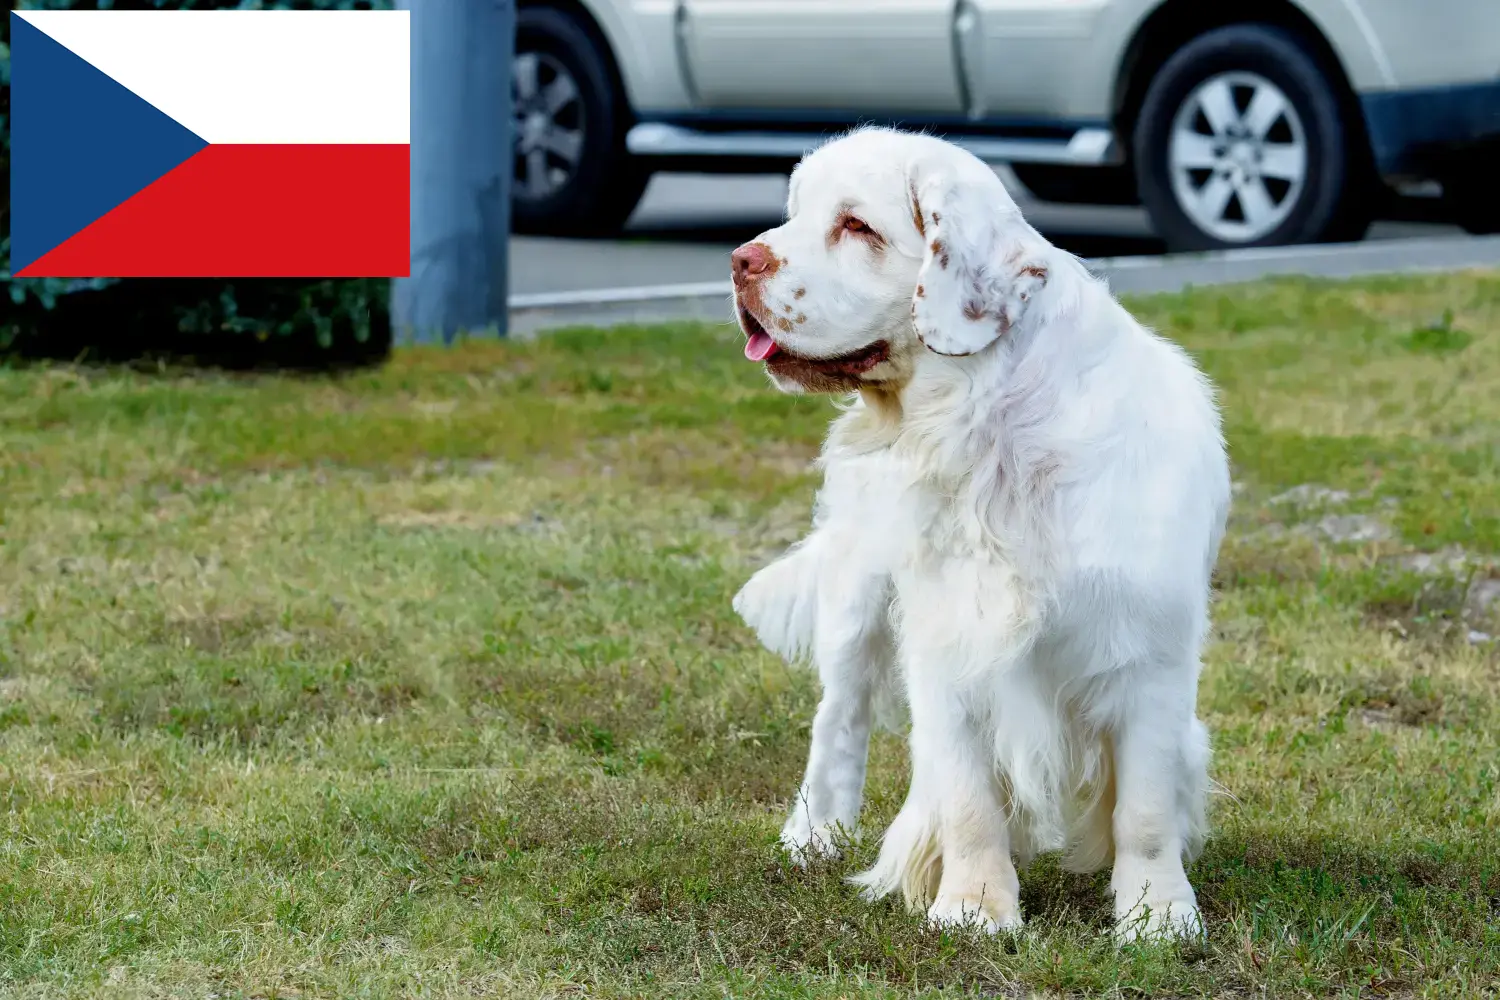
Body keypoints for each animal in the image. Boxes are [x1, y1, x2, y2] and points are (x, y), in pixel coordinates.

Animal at [729, 128, 1230, 941]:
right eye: (796, 213)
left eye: (856, 226)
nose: (741, 260)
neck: (992, 435)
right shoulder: (949, 640)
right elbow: (967, 799)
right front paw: (973, 908)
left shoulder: (1149, 653)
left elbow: (1147, 808)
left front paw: (1157, 916)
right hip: (858, 598)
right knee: (839, 718)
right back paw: (813, 837)